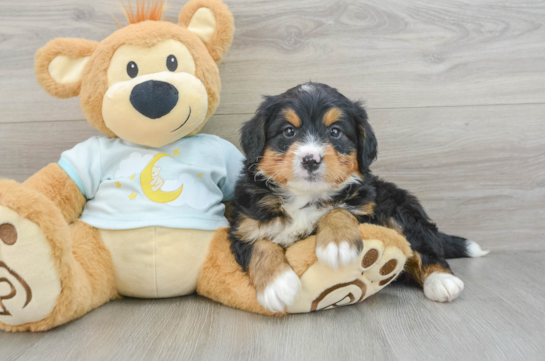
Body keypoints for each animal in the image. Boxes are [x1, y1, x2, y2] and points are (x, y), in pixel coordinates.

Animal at [227, 82, 486, 312]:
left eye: (335, 132)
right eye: (289, 131)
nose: (311, 160)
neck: (306, 196)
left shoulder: (368, 214)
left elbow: (338, 210)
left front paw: (337, 243)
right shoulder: (245, 224)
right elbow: (260, 244)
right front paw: (277, 285)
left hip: (399, 210)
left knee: (425, 247)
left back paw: (442, 280)